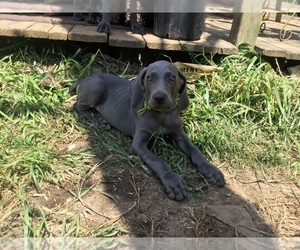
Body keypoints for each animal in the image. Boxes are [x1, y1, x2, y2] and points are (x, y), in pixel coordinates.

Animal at [70, 60, 225, 201]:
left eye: (172, 77)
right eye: (149, 78)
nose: (159, 97)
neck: (161, 115)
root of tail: (86, 78)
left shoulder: (179, 134)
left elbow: (195, 150)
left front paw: (210, 169)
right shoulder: (138, 145)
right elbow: (158, 160)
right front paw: (172, 180)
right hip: (98, 86)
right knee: (77, 105)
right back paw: (96, 119)